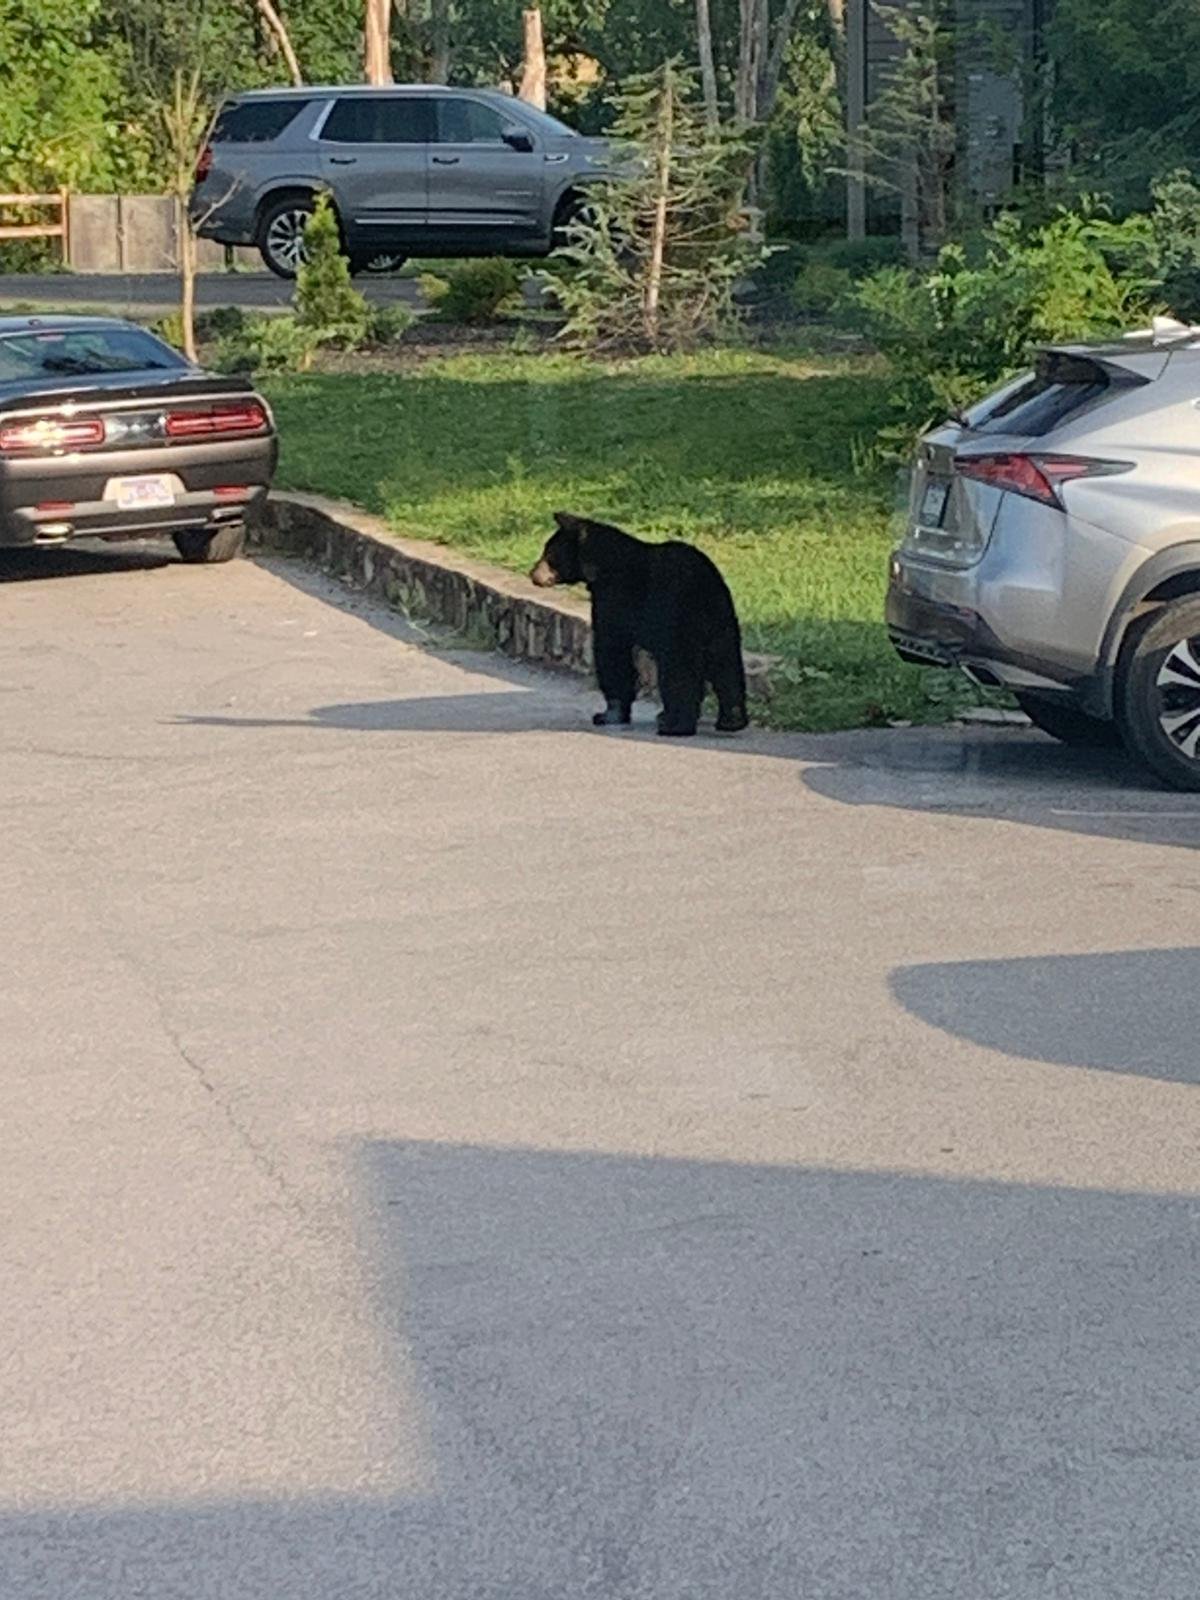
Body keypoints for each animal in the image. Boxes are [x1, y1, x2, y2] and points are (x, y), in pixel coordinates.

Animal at [530, 511, 749, 737]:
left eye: (549, 553)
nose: (533, 573)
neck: (602, 564)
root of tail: (705, 586)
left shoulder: (613, 598)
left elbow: (611, 648)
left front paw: (608, 714)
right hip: (722, 622)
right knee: (726, 665)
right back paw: (732, 719)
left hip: (679, 621)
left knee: (679, 670)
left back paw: (675, 725)